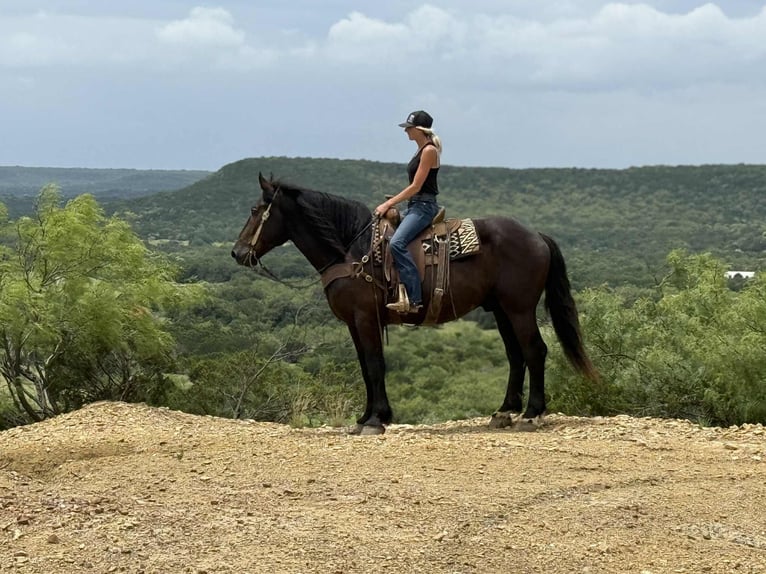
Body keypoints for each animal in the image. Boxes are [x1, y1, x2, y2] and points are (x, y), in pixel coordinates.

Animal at [231, 173, 598, 435]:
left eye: (254, 210)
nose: (237, 253)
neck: (352, 251)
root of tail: (536, 236)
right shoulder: (354, 323)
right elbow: (365, 367)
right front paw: (367, 417)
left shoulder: (365, 318)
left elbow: (375, 365)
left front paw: (376, 421)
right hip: (501, 311)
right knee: (515, 355)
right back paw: (505, 411)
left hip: (520, 308)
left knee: (535, 350)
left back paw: (532, 414)